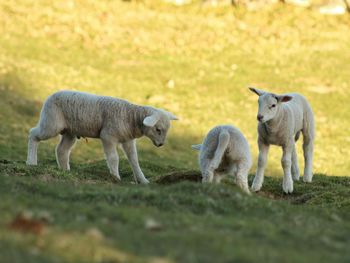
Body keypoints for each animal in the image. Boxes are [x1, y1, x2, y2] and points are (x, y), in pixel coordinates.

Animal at [26, 89, 178, 185]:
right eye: (158, 129)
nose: (161, 144)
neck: (130, 117)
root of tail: (50, 95)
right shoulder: (108, 136)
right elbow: (114, 158)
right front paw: (115, 177)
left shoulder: (128, 140)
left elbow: (134, 160)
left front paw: (143, 180)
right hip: (51, 123)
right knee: (33, 134)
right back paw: (31, 162)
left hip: (70, 131)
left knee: (62, 150)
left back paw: (65, 170)